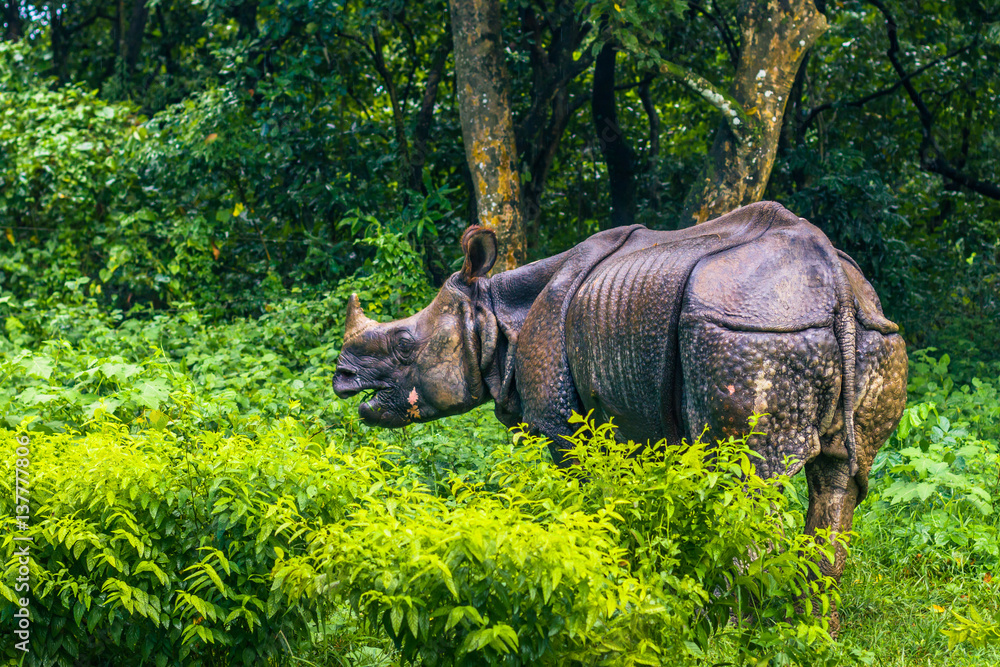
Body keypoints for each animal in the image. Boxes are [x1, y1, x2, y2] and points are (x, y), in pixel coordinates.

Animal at [333, 201, 907, 622]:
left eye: (404, 345)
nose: (341, 378)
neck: (495, 313)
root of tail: (835, 284)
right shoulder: (633, 417)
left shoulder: (562, 427)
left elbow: (584, 497)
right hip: (871, 333)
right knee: (839, 480)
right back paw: (815, 633)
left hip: (748, 332)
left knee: (744, 483)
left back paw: (733, 632)